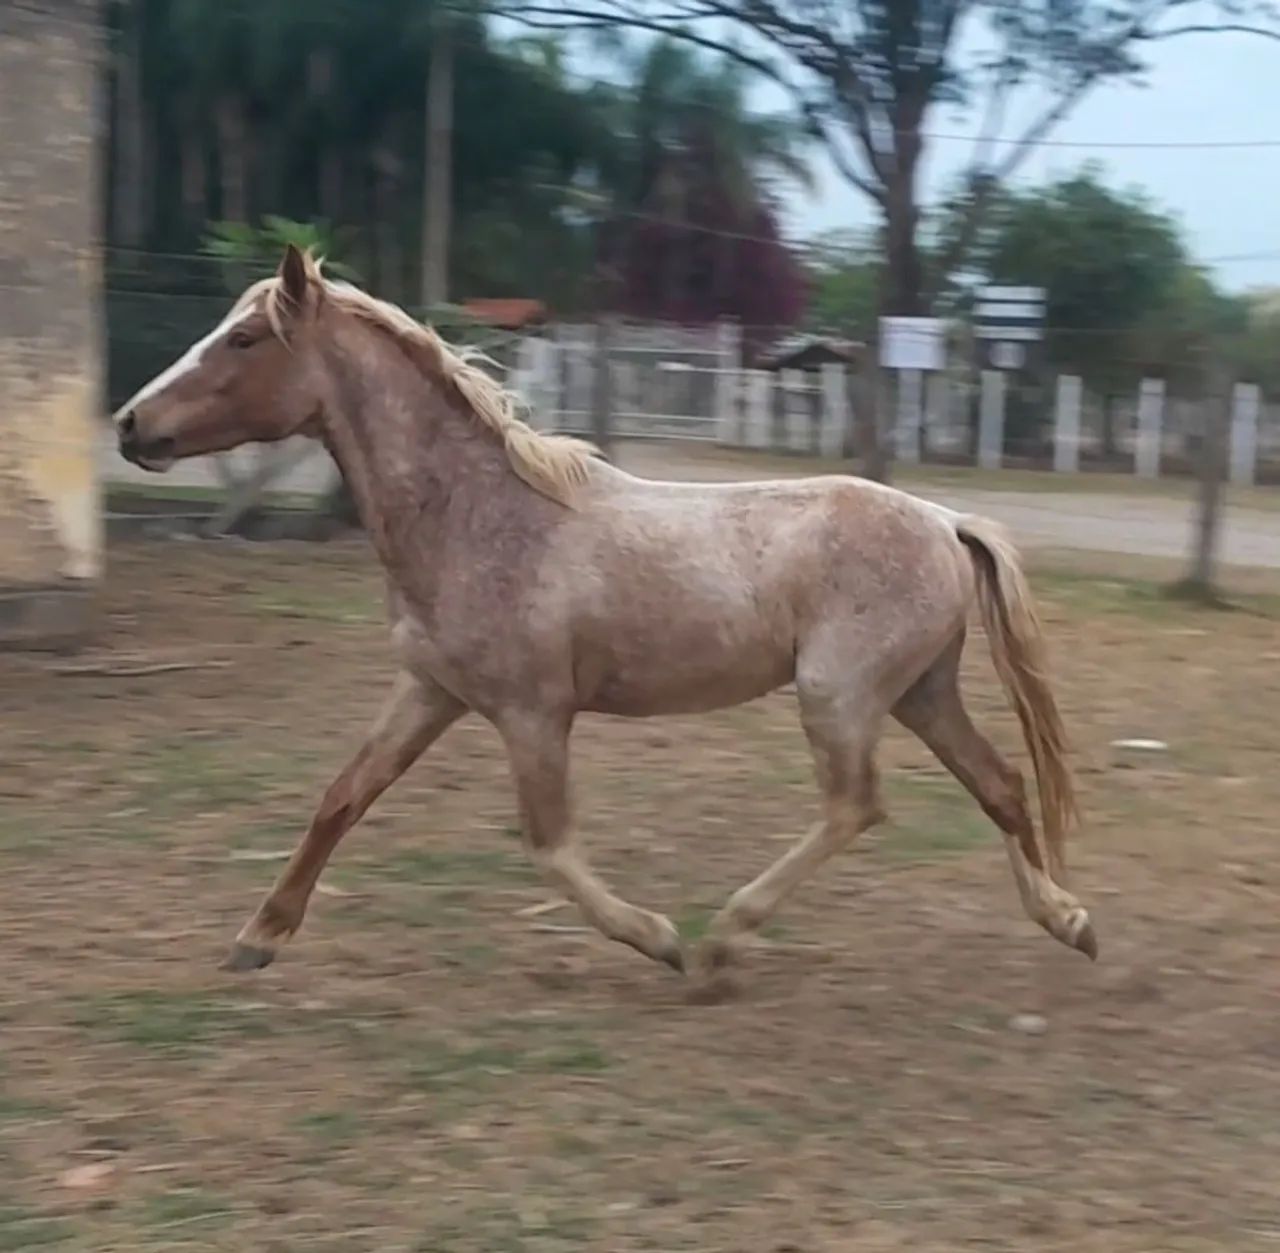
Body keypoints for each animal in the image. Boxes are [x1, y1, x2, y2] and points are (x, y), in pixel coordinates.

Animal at [114, 244, 1096, 984]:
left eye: (244, 337)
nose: (129, 424)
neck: (478, 516)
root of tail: (944, 520)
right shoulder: (430, 689)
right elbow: (343, 795)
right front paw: (258, 937)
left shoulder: (533, 712)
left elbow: (550, 845)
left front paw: (658, 938)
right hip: (920, 691)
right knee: (1001, 784)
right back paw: (1067, 917)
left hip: (839, 695)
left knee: (859, 805)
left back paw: (723, 938)